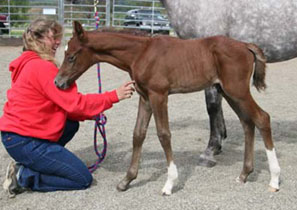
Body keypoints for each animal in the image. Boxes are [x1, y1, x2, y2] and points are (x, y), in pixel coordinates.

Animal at [54, 21, 278, 195]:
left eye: (71, 56)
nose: (58, 83)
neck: (141, 53)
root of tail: (245, 45)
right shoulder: (145, 97)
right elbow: (138, 134)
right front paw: (127, 180)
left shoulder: (158, 95)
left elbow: (163, 134)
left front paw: (169, 184)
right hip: (229, 93)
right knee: (247, 123)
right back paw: (244, 174)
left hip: (237, 91)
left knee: (262, 118)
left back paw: (274, 180)